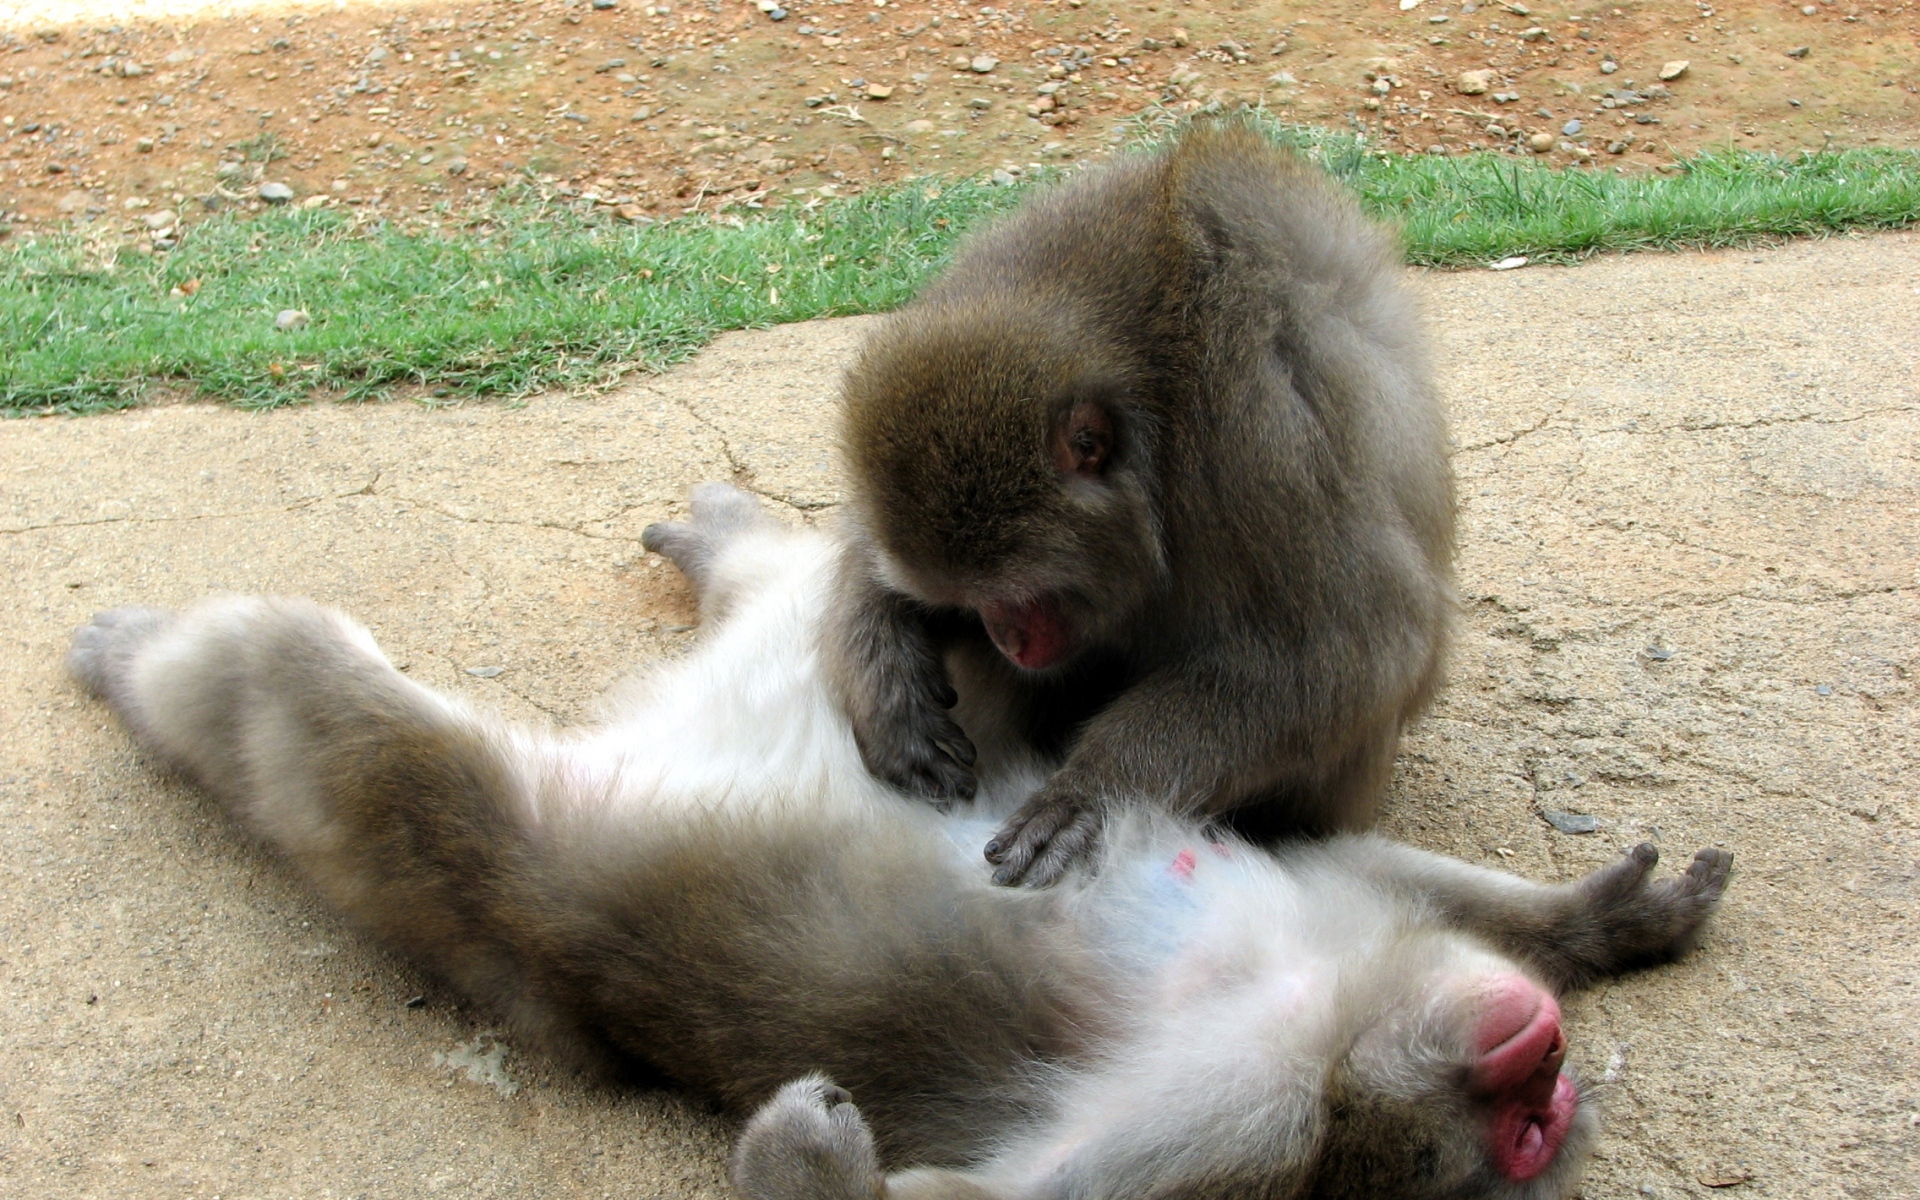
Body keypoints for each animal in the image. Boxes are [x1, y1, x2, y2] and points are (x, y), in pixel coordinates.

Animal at [69, 483, 1730, 1200]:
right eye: (1529, 1105)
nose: (1550, 1064)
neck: (1330, 1017)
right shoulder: (1315, 992)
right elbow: (1349, 861)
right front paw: (1594, 921)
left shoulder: (1240, 1124)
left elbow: (998, 1198)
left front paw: (807, 1167)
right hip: (914, 677)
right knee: (896, 597)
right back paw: (740, 536)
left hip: (488, 844)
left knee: (315, 708)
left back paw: (152, 674)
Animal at [827, 122, 1456, 885]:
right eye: (970, 603)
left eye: (1020, 594)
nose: (1008, 640)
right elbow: (868, 546)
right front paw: (892, 700)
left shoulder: (1263, 435)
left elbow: (1347, 653)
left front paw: (1092, 792)